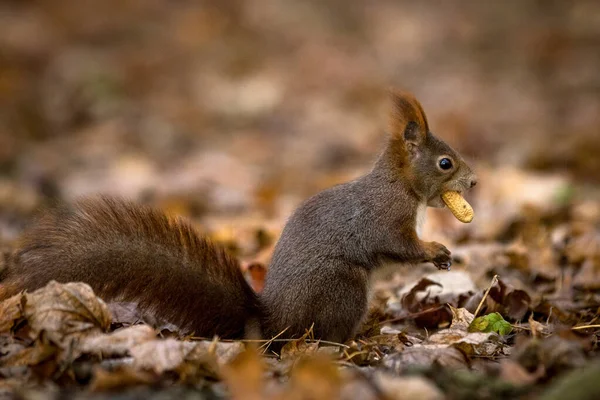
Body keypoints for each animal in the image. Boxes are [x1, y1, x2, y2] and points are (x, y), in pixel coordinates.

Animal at [0, 90, 478, 344]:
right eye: (445, 163)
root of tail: (274, 323)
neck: (403, 187)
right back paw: (356, 336)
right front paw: (436, 250)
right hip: (341, 287)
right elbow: (399, 245)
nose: (474, 182)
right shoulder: (384, 216)